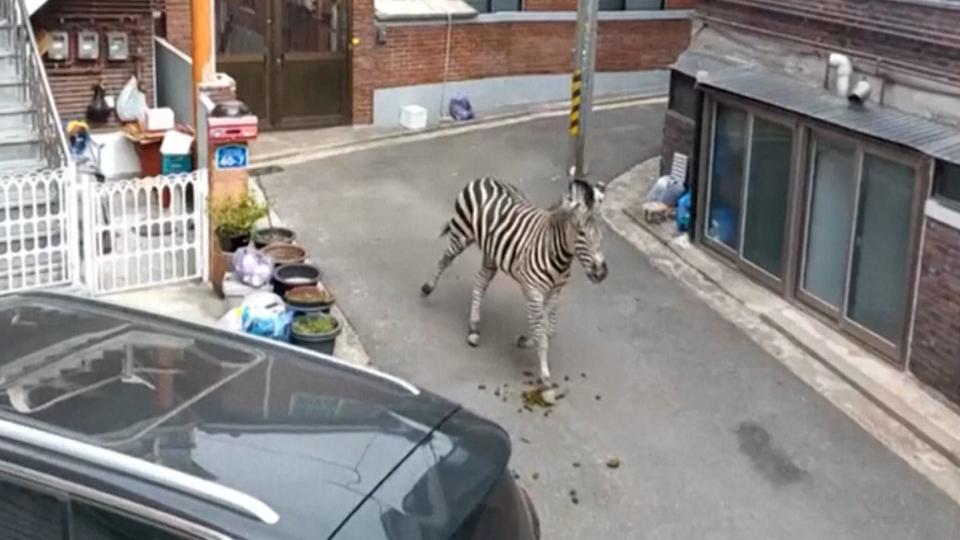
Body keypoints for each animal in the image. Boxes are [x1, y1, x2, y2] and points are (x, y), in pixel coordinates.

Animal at [420, 179, 608, 386]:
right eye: (581, 233)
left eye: (601, 233)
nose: (602, 273)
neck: (556, 253)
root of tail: (485, 179)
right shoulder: (533, 291)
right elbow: (541, 330)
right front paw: (545, 375)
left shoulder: (554, 292)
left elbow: (548, 329)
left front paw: (526, 342)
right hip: (461, 235)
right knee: (444, 261)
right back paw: (428, 288)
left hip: (491, 254)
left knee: (480, 281)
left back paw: (474, 328)